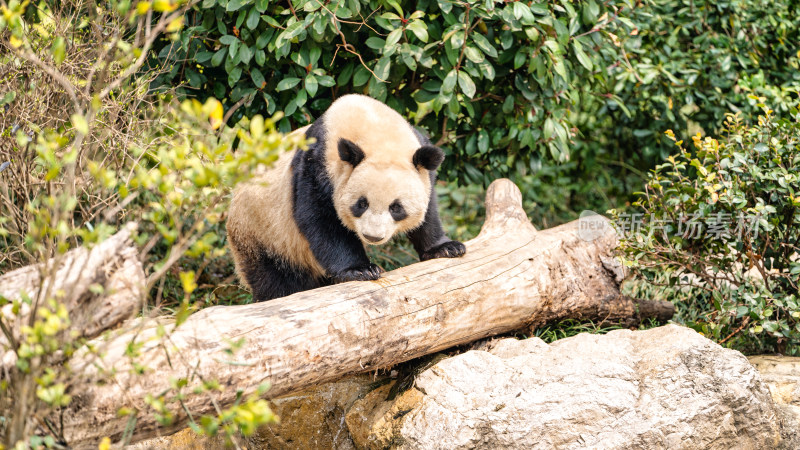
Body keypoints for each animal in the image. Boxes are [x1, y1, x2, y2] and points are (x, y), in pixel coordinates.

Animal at [225, 93, 466, 300]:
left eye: (396, 208)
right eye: (361, 204)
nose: (373, 237)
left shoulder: (422, 166)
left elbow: (429, 212)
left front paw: (446, 248)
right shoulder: (316, 166)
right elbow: (320, 220)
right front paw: (360, 270)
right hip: (262, 233)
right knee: (276, 279)